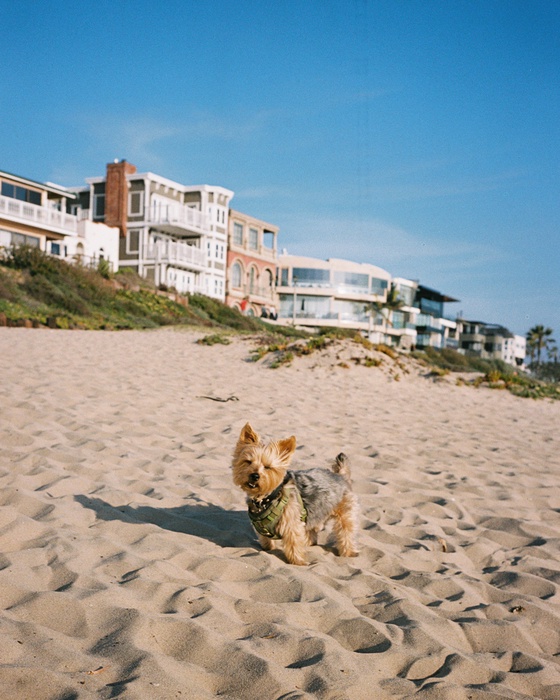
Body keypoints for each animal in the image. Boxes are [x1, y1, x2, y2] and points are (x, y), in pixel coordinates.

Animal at [231, 422, 358, 564]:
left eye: (268, 467)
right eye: (248, 462)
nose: (254, 476)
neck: (266, 498)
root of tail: (340, 476)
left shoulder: (291, 525)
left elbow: (293, 545)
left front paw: (299, 562)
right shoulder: (262, 528)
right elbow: (266, 540)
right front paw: (268, 548)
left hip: (345, 512)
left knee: (346, 532)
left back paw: (349, 552)